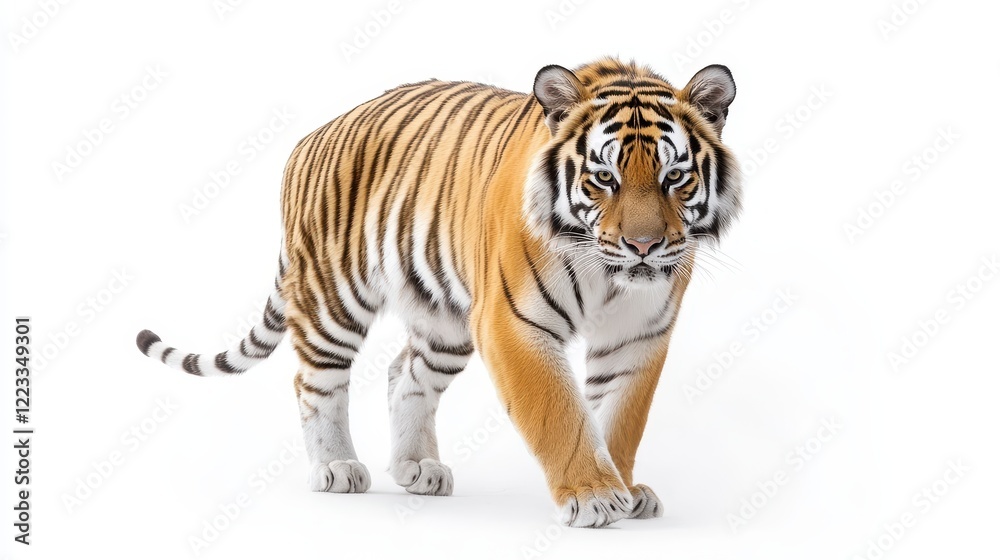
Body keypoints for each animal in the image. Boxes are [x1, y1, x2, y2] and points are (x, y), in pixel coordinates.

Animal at [136, 57, 741, 528]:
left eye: (673, 178)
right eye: (604, 179)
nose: (643, 245)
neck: (608, 275)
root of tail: (313, 136)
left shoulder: (639, 335)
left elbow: (619, 418)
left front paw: (625, 489)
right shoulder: (514, 324)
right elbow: (560, 414)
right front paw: (594, 496)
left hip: (443, 319)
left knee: (405, 375)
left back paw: (417, 468)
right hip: (334, 295)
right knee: (315, 380)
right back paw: (336, 467)